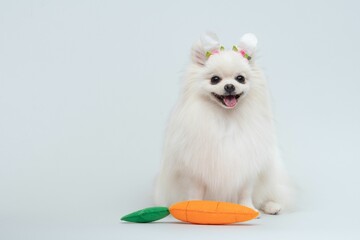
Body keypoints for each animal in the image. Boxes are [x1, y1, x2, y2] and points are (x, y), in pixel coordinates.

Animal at [153, 31, 294, 214]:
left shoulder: (247, 167)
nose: (229, 86)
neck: (227, 118)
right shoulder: (194, 172)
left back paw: (271, 206)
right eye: (215, 79)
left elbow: (245, 192)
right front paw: (194, 208)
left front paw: (248, 209)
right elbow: (195, 193)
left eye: (240, 79)